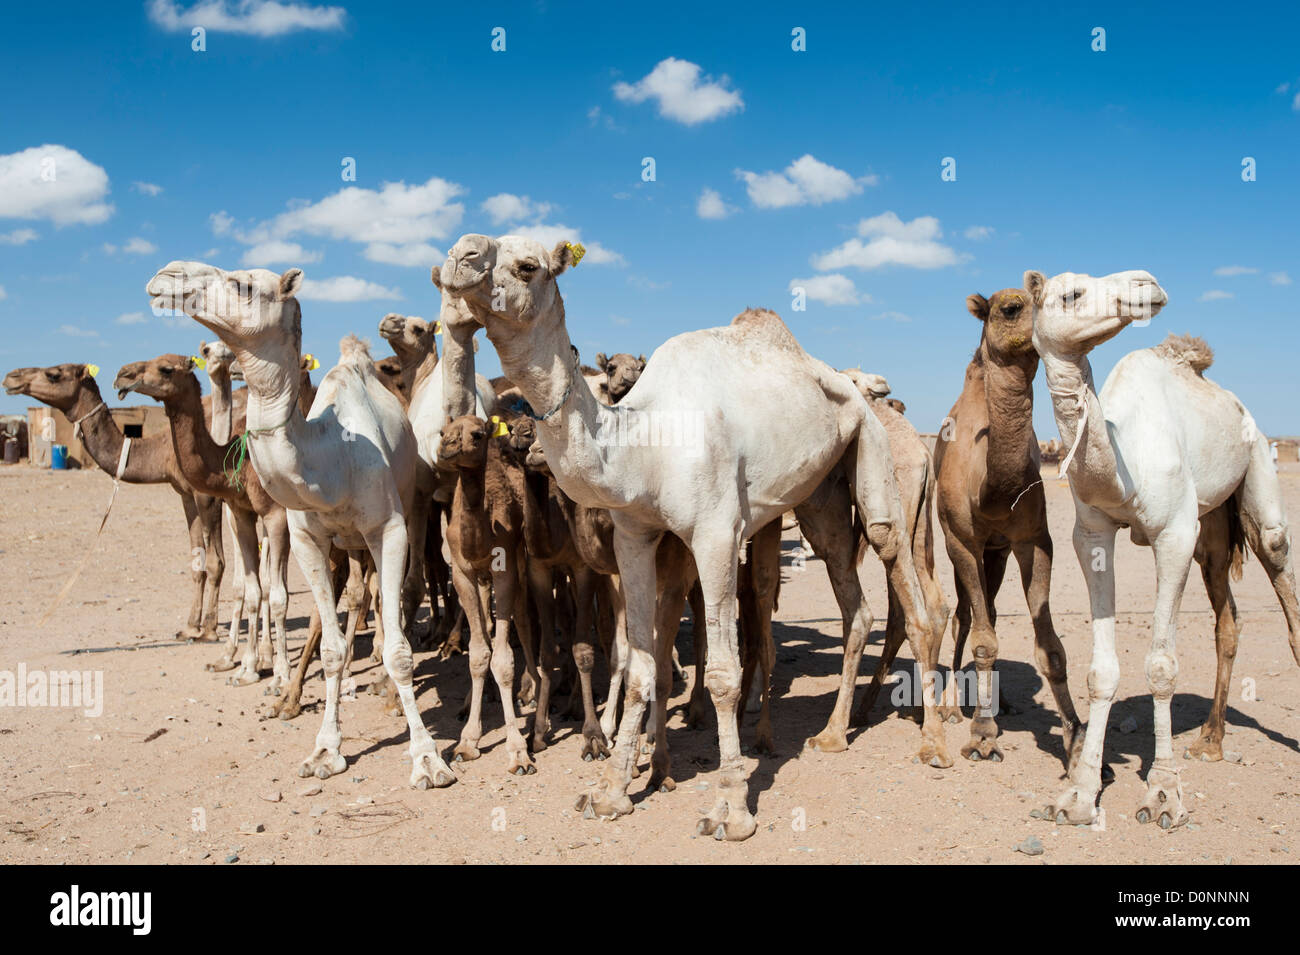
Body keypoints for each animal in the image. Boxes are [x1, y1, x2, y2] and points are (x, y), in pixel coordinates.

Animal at [3, 361, 223, 639]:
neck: (163, 451)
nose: (11, 377)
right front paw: (190, 627)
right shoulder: (185, 494)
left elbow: (216, 562)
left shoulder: (208, 495)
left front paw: (210, 630)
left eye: (53, 374)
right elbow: (197, 561)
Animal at [148, 261, 460, 789]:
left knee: (394, 589)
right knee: (357, 594)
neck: (331, 457)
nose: (167, 275)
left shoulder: (388, 528)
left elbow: (399, 650)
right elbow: (330, 648)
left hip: (408, 509)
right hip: (347, 541)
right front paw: (325, 750)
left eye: (243, 285)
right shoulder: (308, 538)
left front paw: (428, 759)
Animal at [436, 235, 935, 841]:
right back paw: (835, 733)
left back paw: (935, 740)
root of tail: (857, 384)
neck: (644, 442)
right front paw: (611, 792)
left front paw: (731, 809)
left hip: (871, 441)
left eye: (528, 265)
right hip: (823, 497)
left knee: (899, 568)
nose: (460, 256)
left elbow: (720, 672)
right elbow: (639, 665)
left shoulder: (716, 533)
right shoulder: (633, 536)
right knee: (853, 599)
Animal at [915, 291, 1086, 769]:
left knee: (988, 609)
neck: (989, 486)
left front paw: (1077, 741)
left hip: (998, 552)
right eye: (1011, 307)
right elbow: (980, 637)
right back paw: (955, 707)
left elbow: (1050, 647)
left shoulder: (1032, 541)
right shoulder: (961, 541)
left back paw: (1000, 702)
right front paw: (982, 735)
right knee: (967, 615)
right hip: (966, 549)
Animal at [1024, 268, 1300, 831]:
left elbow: (1161, 666)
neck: (1122, 460)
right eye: (1072, 294)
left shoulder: (1173, 532)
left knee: (1280, 565)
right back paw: (1211, 741)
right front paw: (1079, 795)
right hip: (1211, 530)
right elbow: (1101, 671)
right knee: (1228, 619)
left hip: (1258, 464)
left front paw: (1164, 793)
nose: (1145, 282)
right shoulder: (1091, 535)